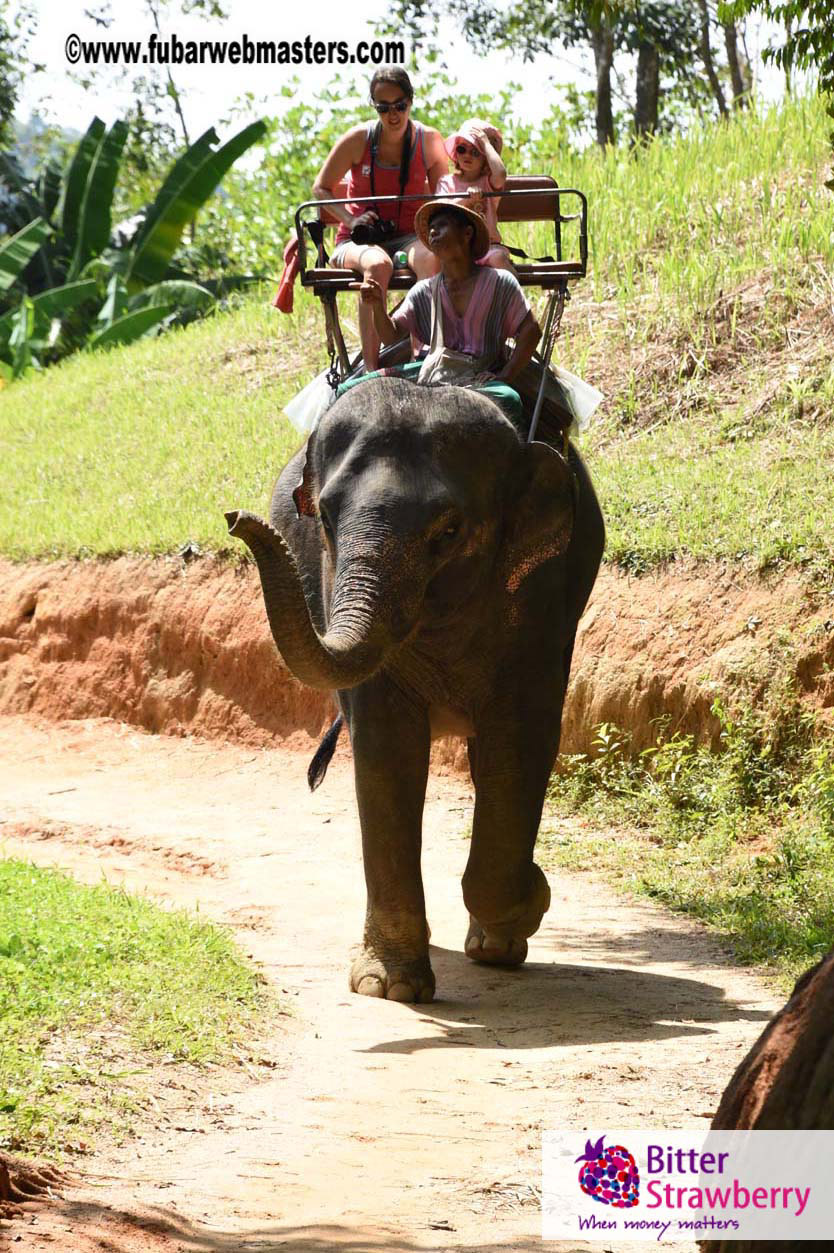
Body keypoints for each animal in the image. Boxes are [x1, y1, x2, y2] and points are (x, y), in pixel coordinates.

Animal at [226, 376, 604, 1003]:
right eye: (323, 517)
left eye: (448, 531)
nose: (236, 519)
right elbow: (386, 748)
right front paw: (390, 986)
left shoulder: (542, 601)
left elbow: (518, 742)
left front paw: (528, 904)